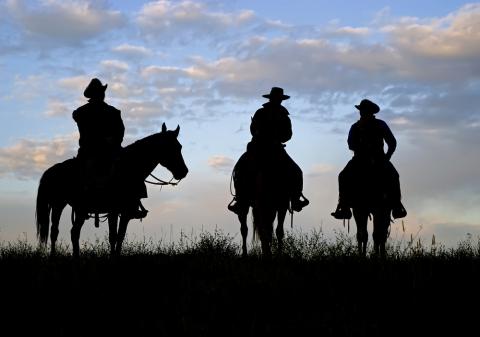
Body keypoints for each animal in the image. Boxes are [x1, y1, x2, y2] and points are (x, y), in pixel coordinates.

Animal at [35, 122, 188, 256]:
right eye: (170, 147)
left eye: (180, 147)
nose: (184, 172)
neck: (128, 168)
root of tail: (52, 170)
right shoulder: (115, 211)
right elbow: (114, 236)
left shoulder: (124, 213)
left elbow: (119, 236)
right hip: (60, 205)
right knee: (60, 232)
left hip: (72, 208)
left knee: (66, 232)